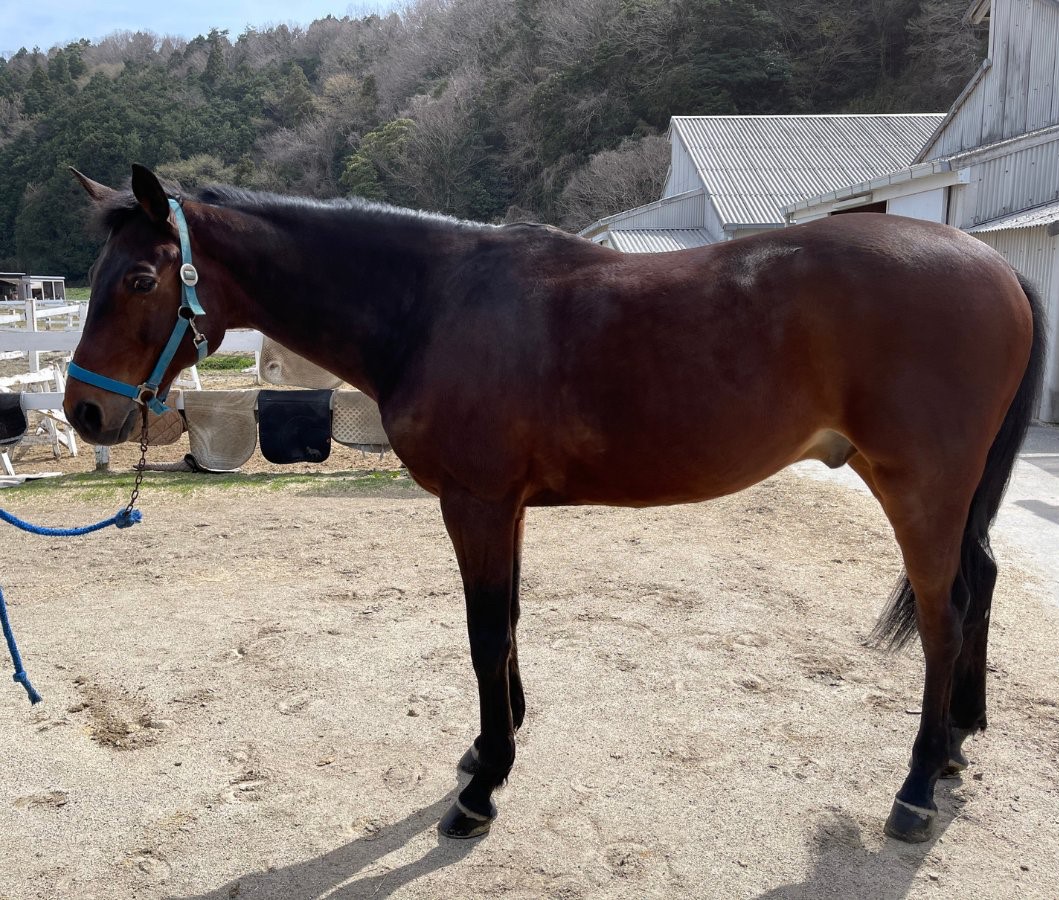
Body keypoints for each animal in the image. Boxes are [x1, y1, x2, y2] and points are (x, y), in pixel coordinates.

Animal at [64, 164, 1045, 843]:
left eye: (141, 280)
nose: (85, 412)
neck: (433, 305)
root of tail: (993, 267)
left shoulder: (476, 503)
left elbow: (482, 633)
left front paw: (481, 787)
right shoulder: (508, 508)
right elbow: (508, 624)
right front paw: (492, 743)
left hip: (917, 486)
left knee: (945, 611)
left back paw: (914, 788)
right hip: (951, 494)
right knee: (981, 583)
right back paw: (957, 744)